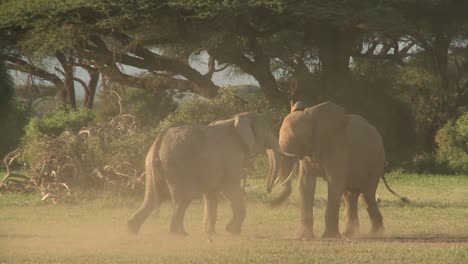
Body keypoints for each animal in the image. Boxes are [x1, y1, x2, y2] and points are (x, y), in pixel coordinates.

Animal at [128, 112, 280, 236]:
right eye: (267, 130)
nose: (268, 190)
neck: (236, 119)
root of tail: (159, 141)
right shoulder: (232, 156)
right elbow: (230, 189)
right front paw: (232, 232)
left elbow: (211, 193)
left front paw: (210, 233)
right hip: (179, 167)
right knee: (182, 200)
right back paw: (179, 235)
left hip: (151, 165)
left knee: (153, 199)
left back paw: (131, 231)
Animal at [266, 100, 408, 239]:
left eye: (298, 139)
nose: (271, 204)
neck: (313, 117)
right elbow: (305, 184)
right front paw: (305, 237)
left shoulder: (338, 149)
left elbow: (334, 183)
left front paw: (329, 237)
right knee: (350, 196)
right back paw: (350, 233)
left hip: (375, 162)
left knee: (367, 194)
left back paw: (375, 234)